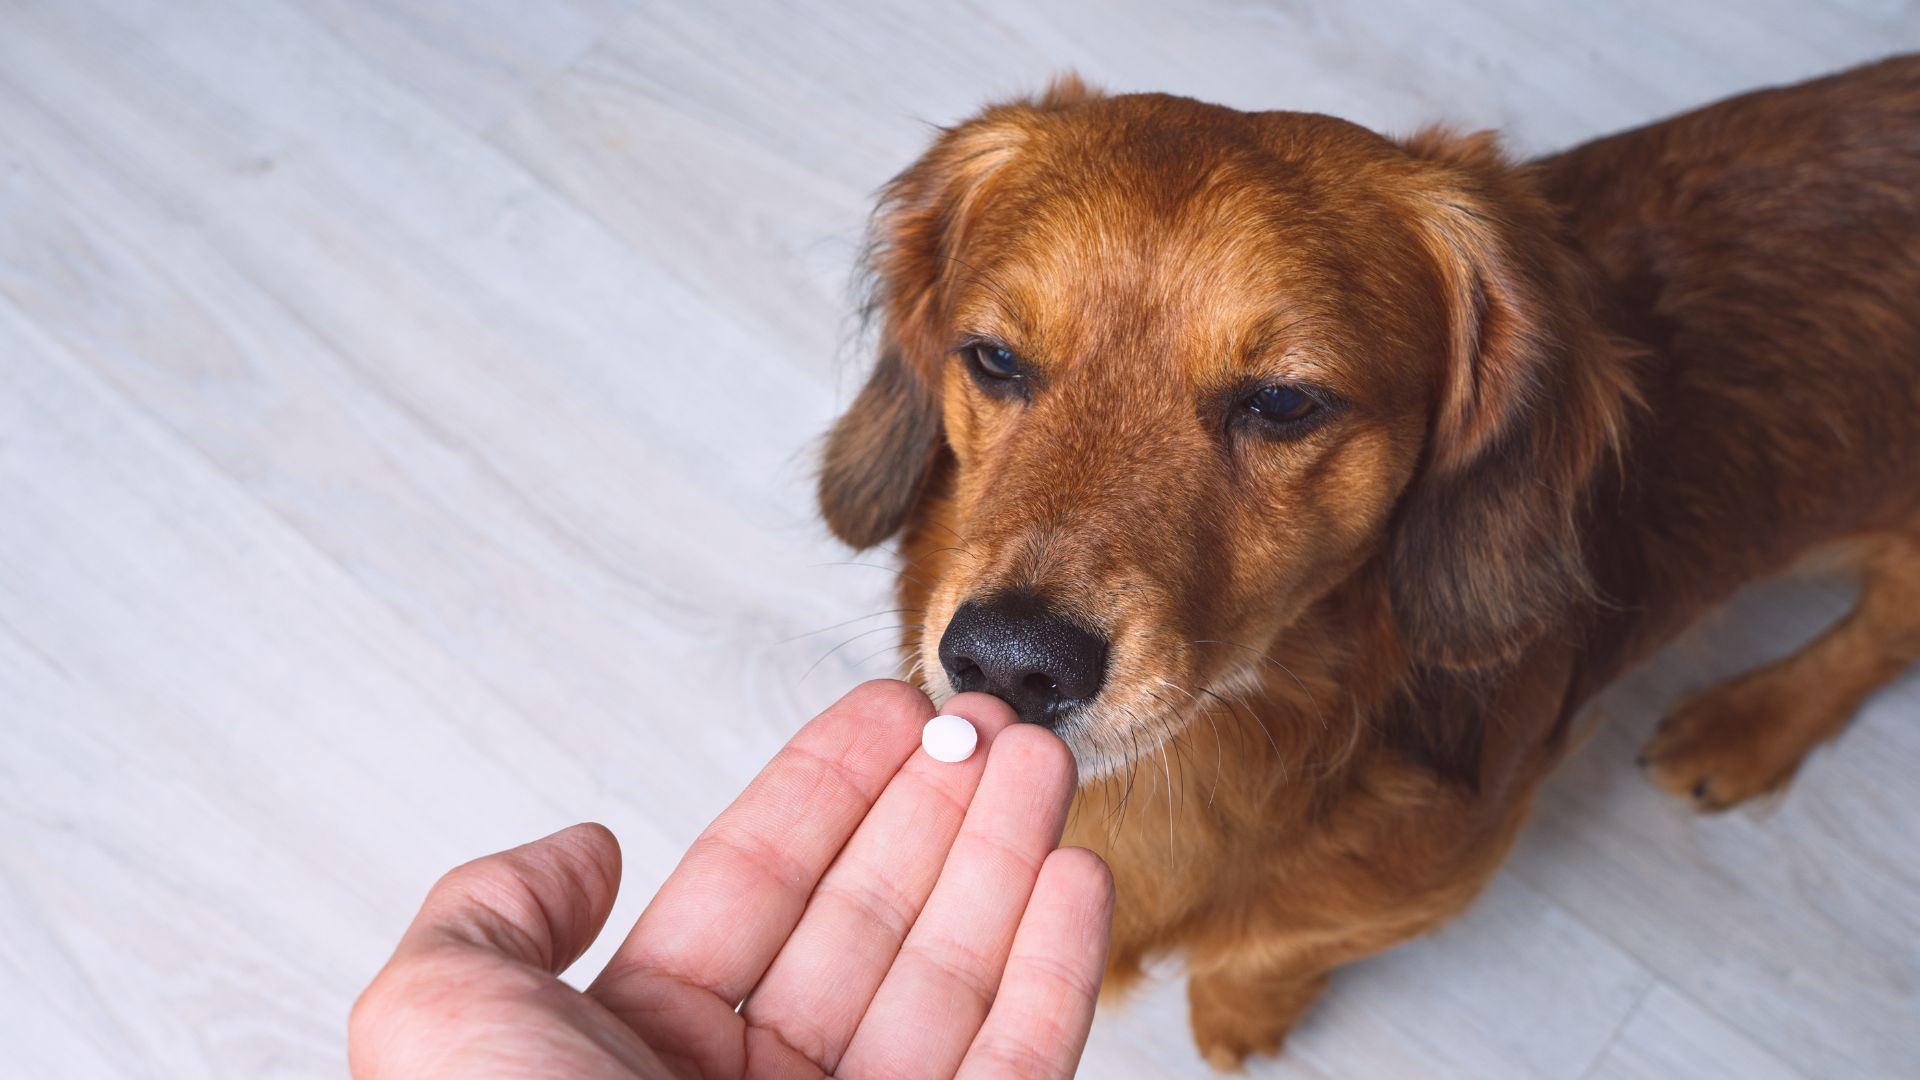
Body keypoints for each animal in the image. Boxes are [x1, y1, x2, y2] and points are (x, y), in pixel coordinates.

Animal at [816, 57, 1920, 1067]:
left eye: (1283, 401)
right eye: (994, 359)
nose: (1009, 661)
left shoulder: (1429, 881)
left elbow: (1270, 951)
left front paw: (1241, 1021)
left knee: (1885, 630)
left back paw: (1750, 724)